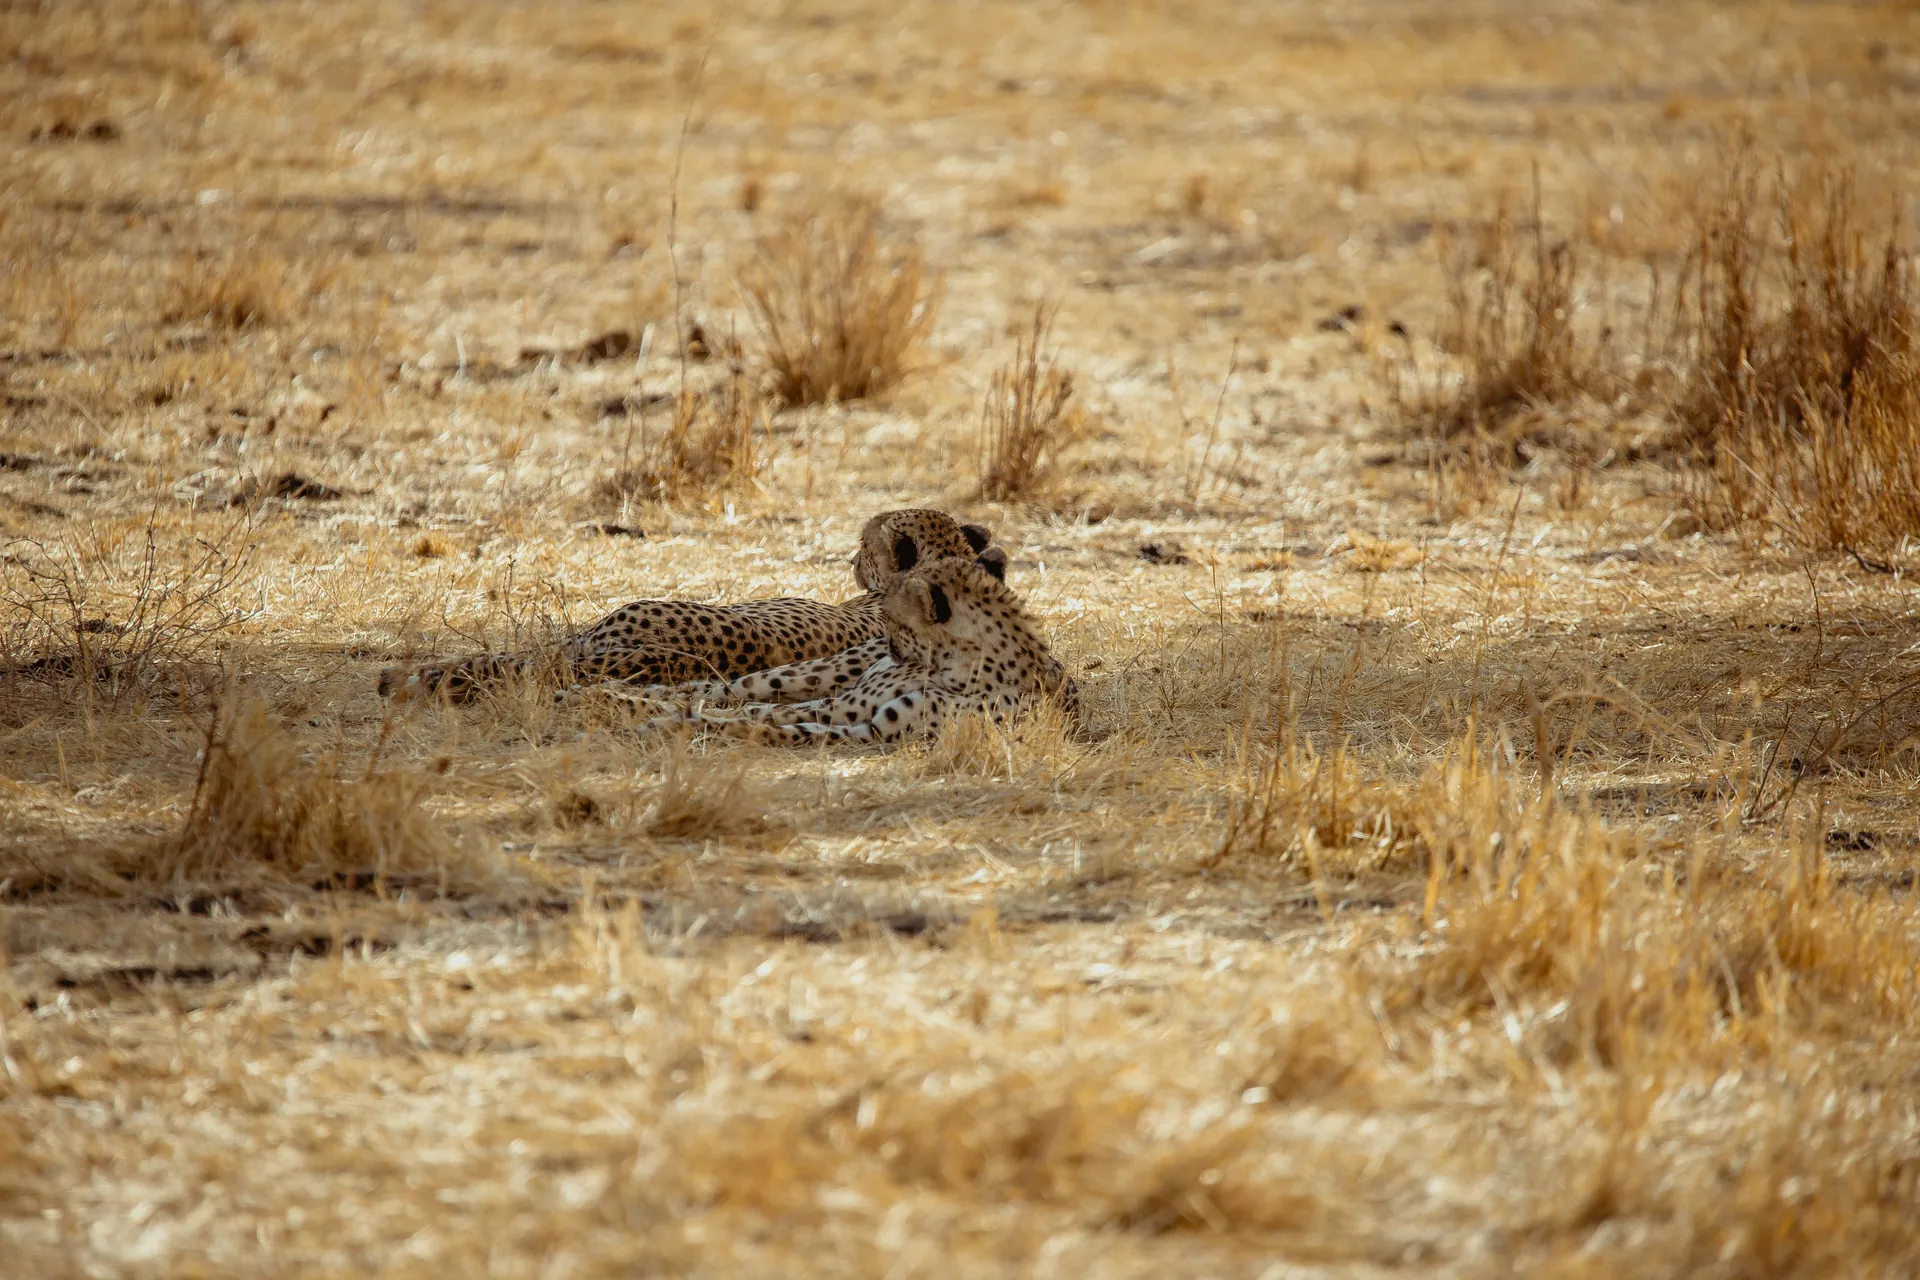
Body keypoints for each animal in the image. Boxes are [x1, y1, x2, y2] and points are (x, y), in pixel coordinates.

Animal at [652, 550, 1079, 747]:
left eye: (893, 617)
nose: (887, 646)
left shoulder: (867, 728)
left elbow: (773, 725)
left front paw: (678, 724)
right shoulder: (846, 707)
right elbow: (760, 713)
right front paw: (669, 719)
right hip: (817, 672)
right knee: (731, 687)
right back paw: (651, 696)